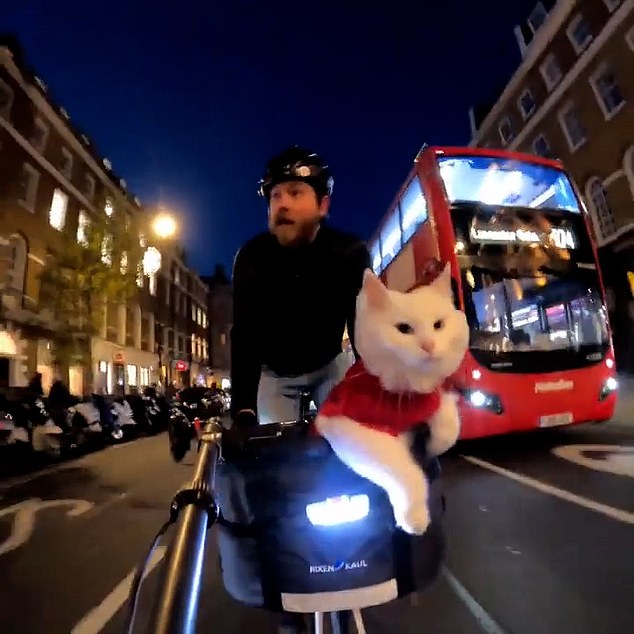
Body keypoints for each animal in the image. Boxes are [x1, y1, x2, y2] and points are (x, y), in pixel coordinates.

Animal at [314, 262, 466, 532]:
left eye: (439, 325)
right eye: (404, 329)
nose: (429, 345)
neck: (406, 393)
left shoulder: (433, 399)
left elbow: (448, 424)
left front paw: (436, 443)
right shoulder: (350, 429)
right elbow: (406, 472)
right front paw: (414, 516)